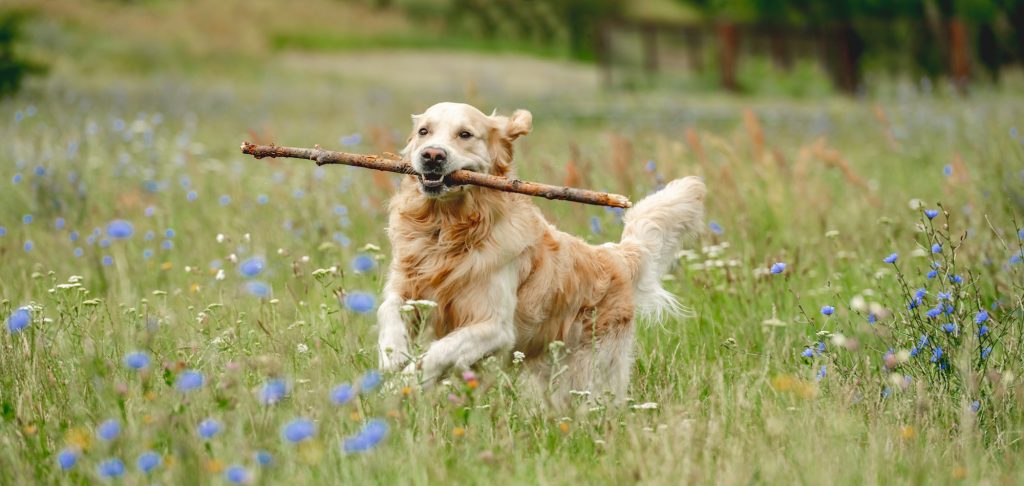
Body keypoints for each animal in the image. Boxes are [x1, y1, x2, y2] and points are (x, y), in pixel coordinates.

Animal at [376, 102, 704, 403]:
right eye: (424, 131)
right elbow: (388, 309)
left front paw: (400, 384)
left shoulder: (495, 327)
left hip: (589, 372)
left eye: (465, 134)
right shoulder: (407, 284)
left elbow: (438, 353)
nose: (432, 155)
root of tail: (618, 256)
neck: (446, 229)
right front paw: (393, 354)